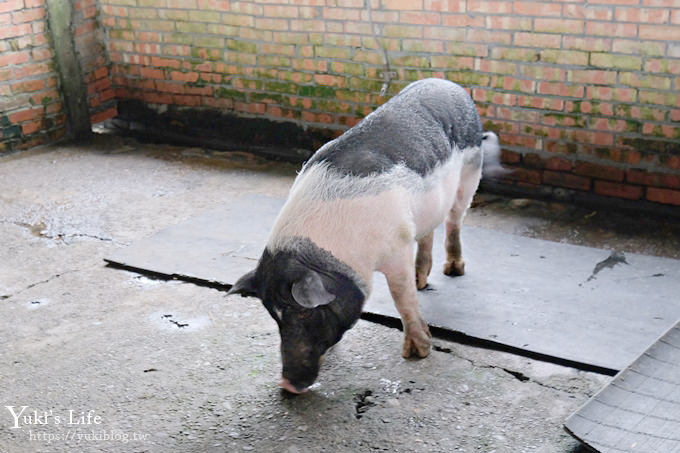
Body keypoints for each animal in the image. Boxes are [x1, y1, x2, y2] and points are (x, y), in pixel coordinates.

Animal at [231, 77, 502, 392]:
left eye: (304, 312)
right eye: (274, 316)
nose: (286, 384)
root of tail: (449, 84)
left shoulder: (397, 245)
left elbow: (401, 297)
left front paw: (417, 353)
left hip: (471, 172)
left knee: (455, 220)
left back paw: (454, 270)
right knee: (429, 232)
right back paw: (421, 281)